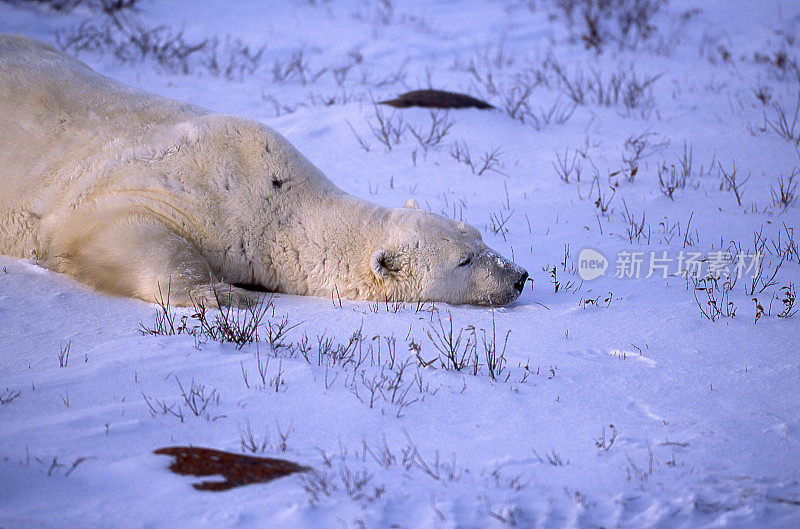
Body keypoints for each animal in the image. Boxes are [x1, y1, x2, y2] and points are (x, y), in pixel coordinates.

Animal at [1, 35, 532, 308]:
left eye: (479, 235)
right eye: (464, 260)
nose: (519, 277)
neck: (274, 201)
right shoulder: (165, 187)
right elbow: (117, 230)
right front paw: (226, 293)